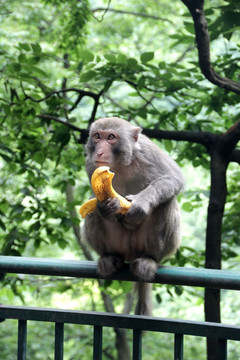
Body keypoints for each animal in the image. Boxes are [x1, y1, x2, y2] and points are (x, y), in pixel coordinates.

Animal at [82, 117, 184, 316]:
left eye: (111, 137)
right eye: (97, 136)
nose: (99, 150)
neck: (121, 163)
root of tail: (131, 253)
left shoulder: (148, 152)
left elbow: (174, 178)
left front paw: (140, 204)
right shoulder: (91, 165)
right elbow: (96, 198)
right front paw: (106, 207)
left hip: (147, 244)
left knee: (167, 202)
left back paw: (149, 260)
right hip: (118, 243)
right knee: (92, 208)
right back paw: (109, 257)